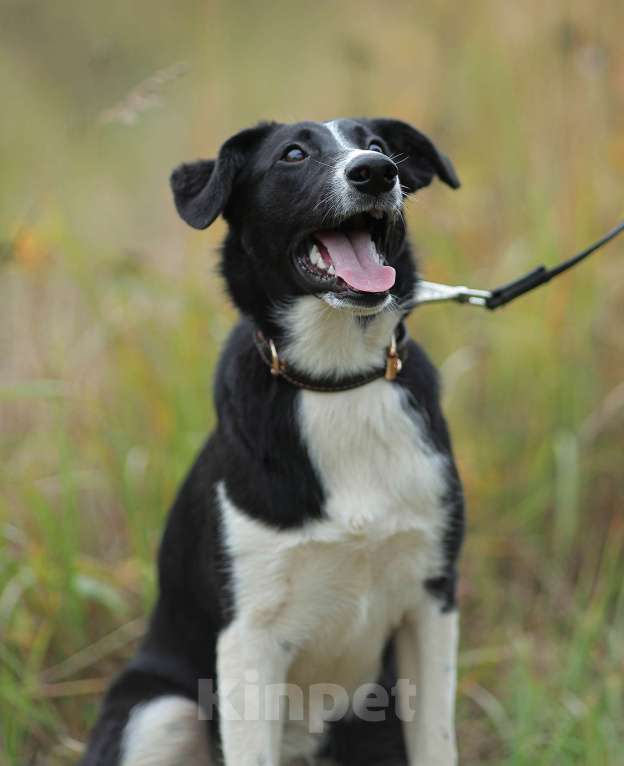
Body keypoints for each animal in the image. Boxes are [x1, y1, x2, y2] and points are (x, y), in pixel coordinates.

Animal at [80, 118, 464, 766]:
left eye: (381, 147)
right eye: (293, 154)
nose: (374, 172)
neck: (336, 380)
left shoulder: (430, 602)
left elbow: (437, 743)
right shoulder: (247, 639)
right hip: (159, 711)